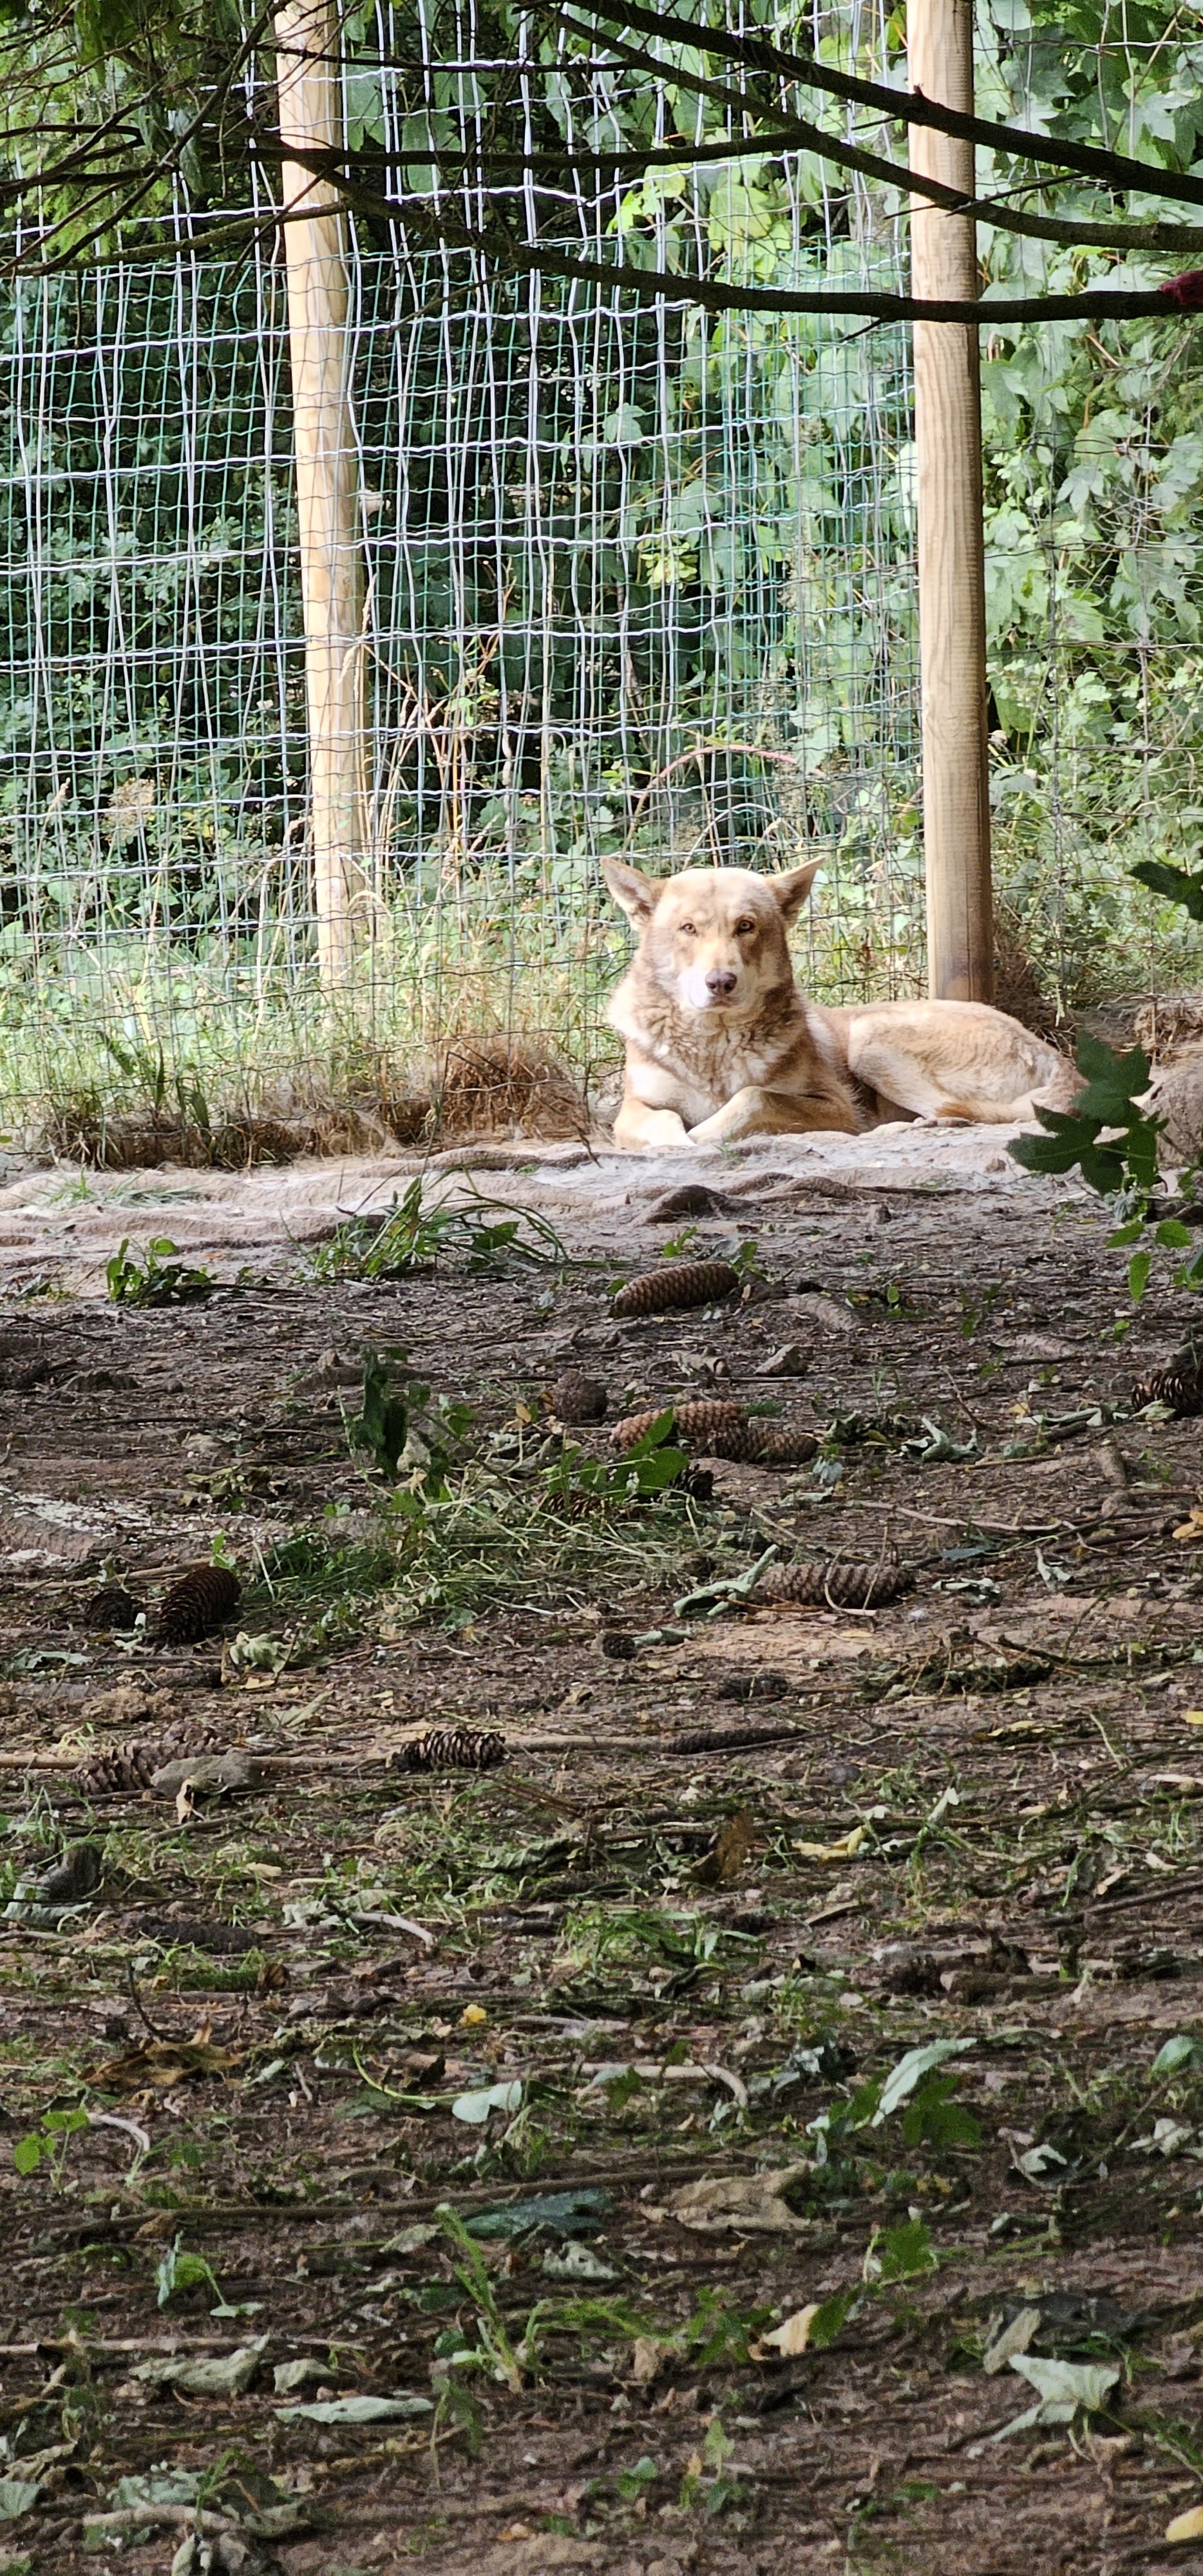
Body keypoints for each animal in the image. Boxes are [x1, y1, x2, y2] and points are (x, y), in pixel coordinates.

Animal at [602, 856, 1079, 1150]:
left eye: (745, 927)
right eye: (688, 929)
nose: (720, 982)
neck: (714, 1051)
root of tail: (1057, 1058)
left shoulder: (835, 1105)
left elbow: (755, 1097)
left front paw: (700, 1136)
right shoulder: (633, 1110)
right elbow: (661, 1122)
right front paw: (678, 1140)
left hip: (872, 1039)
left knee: (957, 1112)